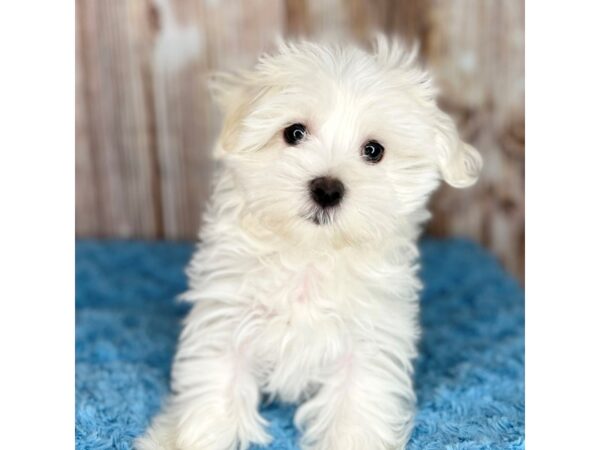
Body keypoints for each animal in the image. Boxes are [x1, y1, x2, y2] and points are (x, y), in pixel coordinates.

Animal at [137, 36, 482, 450]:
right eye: (294, 133)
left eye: (374, 151)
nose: (327, 189)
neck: (310, 255)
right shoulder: (226, 319)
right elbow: (215, 392)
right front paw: (193, 437)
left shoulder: (367, 341)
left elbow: (356, 403)